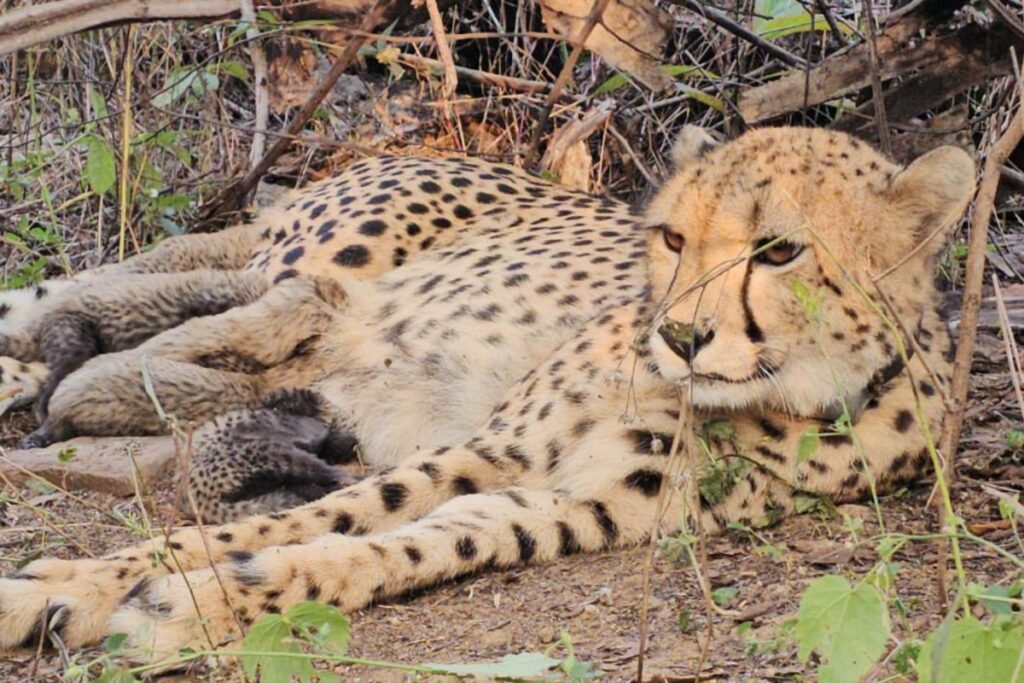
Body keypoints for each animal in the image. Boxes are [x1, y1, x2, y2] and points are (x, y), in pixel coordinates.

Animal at [0, 126, 974, 661]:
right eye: (671, 237)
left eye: (780, 251)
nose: (680, 336)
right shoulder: (492, 446)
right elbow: (312, 515)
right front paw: (68, 586)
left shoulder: (575, 504)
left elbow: (398, 545)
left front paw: (194, 603)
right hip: (313, 259)